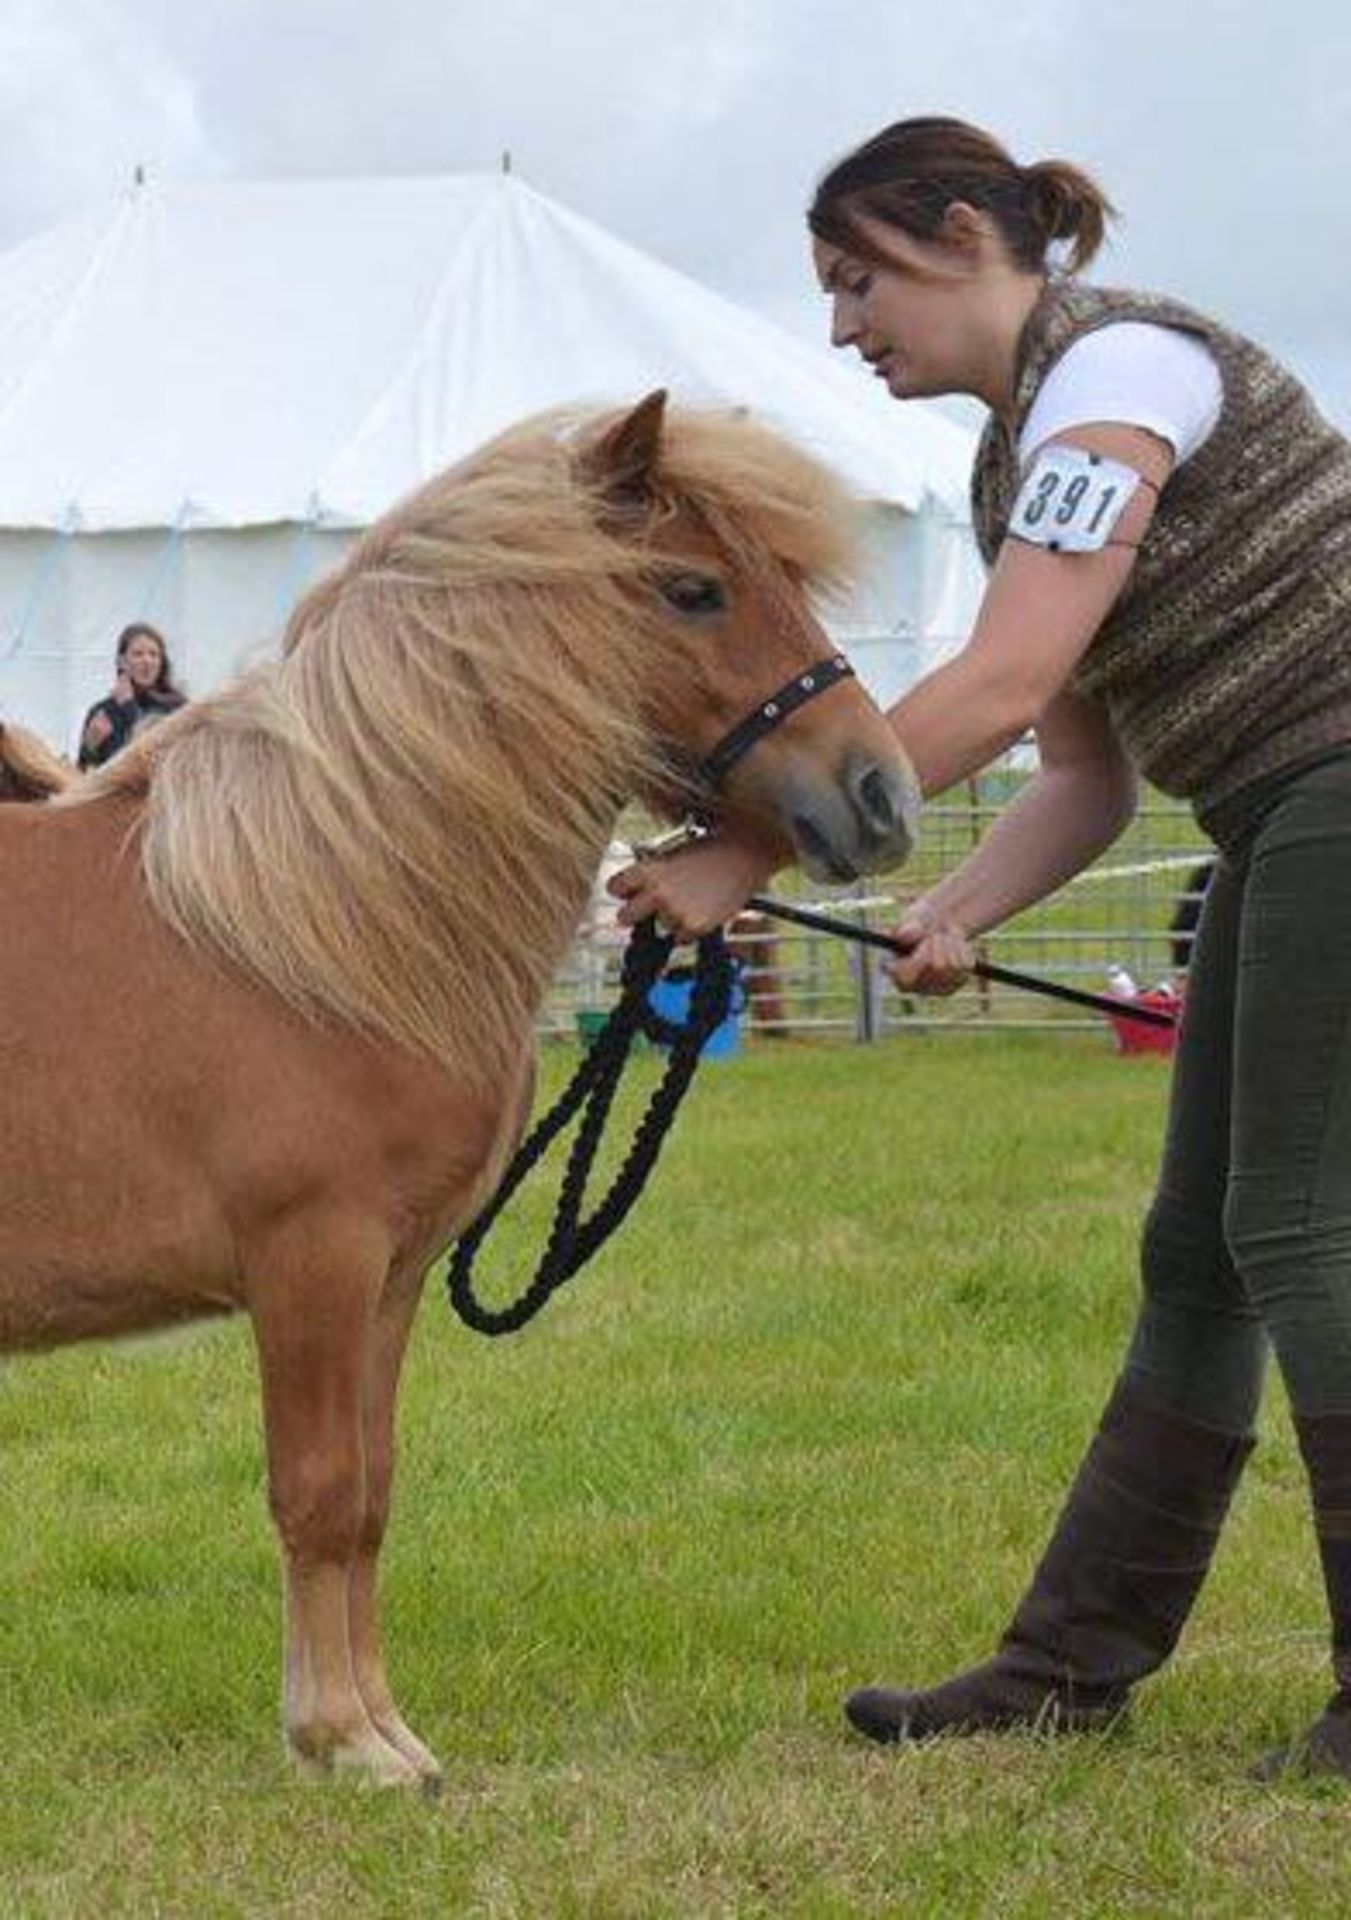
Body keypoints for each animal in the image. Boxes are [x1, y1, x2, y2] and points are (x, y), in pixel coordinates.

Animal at [2, 389, 917, 1781]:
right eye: (695, 589)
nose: (880, 793)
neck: (314, 919)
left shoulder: (389, 1276)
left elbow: (371, 1495)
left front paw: (382, 1729)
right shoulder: (311, 1261)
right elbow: (318, 1491)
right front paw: (343, 1744)